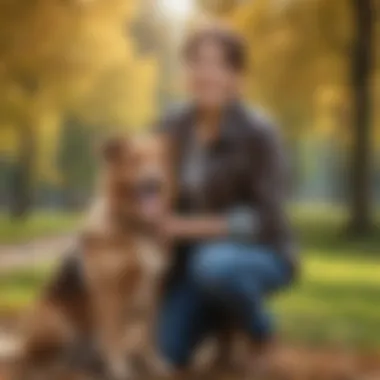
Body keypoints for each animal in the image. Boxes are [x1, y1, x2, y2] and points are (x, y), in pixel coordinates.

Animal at [14, 134, 172, 380]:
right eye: (134, 160)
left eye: (158, 159)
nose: (156, 181)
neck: (132, 227)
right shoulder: (109, 295)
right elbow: (113, 338)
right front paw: (120, 371)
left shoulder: (153, 292)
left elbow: (150, 335)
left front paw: (156, 365)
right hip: (55, 323)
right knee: (31, 358)